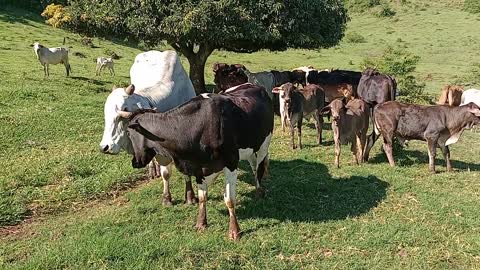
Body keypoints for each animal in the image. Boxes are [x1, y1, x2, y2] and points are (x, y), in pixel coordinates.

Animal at [98, 50, 198, 206]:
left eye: (124, 110)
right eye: (106, 114)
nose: (104, 147)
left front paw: (190, 196)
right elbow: (165, 173)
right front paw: (167, 198)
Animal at [124, 83, 274, 239]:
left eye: (128, 132)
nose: (135, 162)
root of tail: (254, 85)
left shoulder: (231, 163)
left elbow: (229, 200)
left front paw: (235, 231)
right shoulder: (198, 167)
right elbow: (202, 197)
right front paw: (201, 223)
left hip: (264, 142)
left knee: (259, 168)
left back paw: (259, 192)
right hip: (249, 147)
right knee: (253, 165)